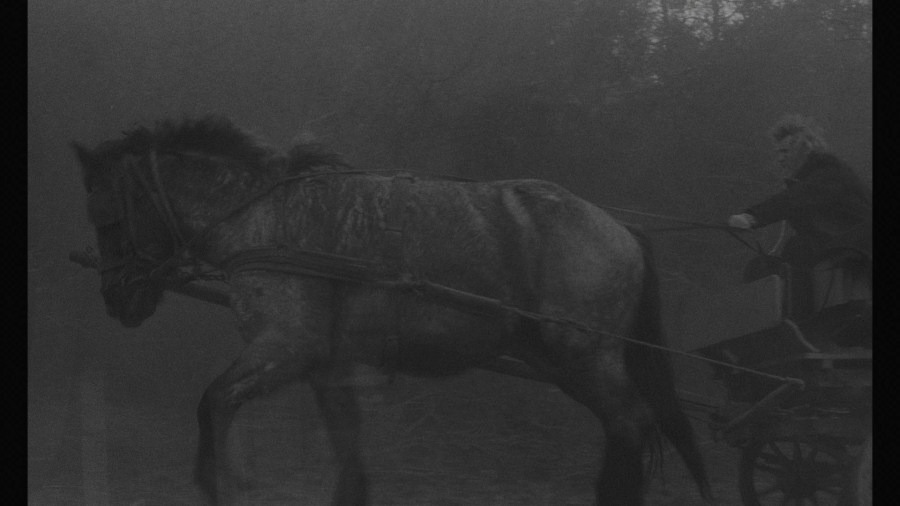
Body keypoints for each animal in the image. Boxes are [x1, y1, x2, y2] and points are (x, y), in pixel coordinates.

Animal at [73, 116, 710, 505]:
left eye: (106, 215)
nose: (115, 298)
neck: (263, 215)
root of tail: (621, 228)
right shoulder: (326, 365)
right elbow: (349, 451)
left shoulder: (285, 347)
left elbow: (212, 402)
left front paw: (221, 482)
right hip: (564, 360)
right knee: (627, 426)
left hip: (584, 356)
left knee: (631, 423)